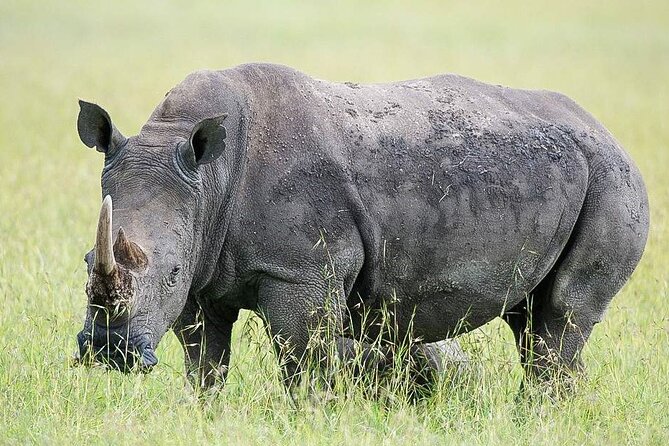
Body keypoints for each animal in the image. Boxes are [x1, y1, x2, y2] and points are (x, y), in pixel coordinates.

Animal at [75, 63, 648, 391]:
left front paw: (305, 419)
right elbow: (205, 362)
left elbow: (301, 363)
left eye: (170, 271)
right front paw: (205, 413)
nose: (108, 351)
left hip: (615, 182)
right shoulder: (203, 264)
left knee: (562, 317)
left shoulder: (301, 272)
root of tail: (607, 132)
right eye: (84, 262)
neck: (208, 177)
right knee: (530, 320)